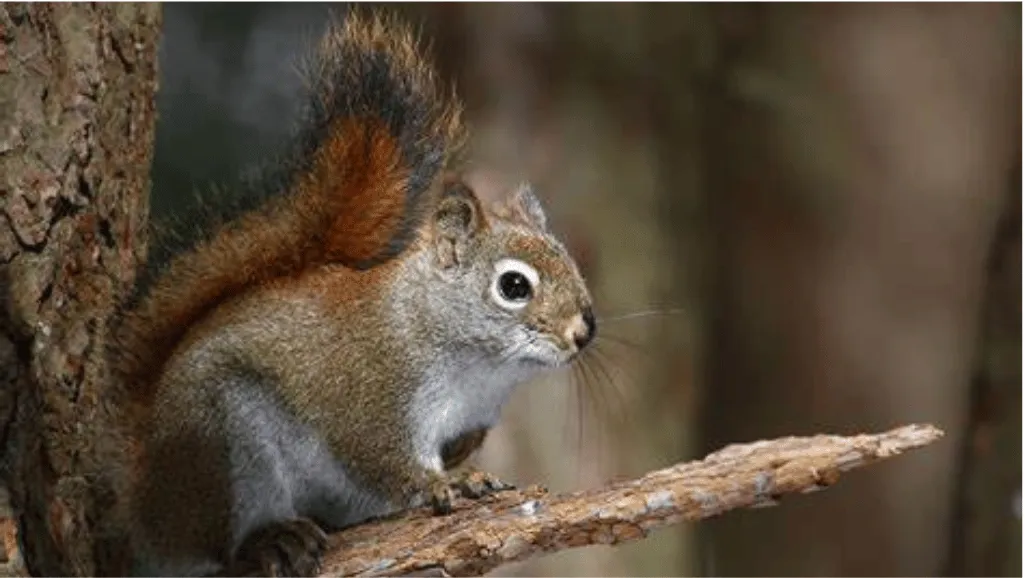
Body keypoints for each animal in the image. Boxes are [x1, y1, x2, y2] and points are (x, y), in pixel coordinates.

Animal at [114, 10, 596, 577]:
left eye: (570, 260)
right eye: (514, 286)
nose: (584, 331)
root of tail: (144, 503)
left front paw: (467, 466)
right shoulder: (371, 394)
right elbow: (380, 456)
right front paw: (447, 483)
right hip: (225, 451)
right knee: (218, 548)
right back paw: (269, 541)